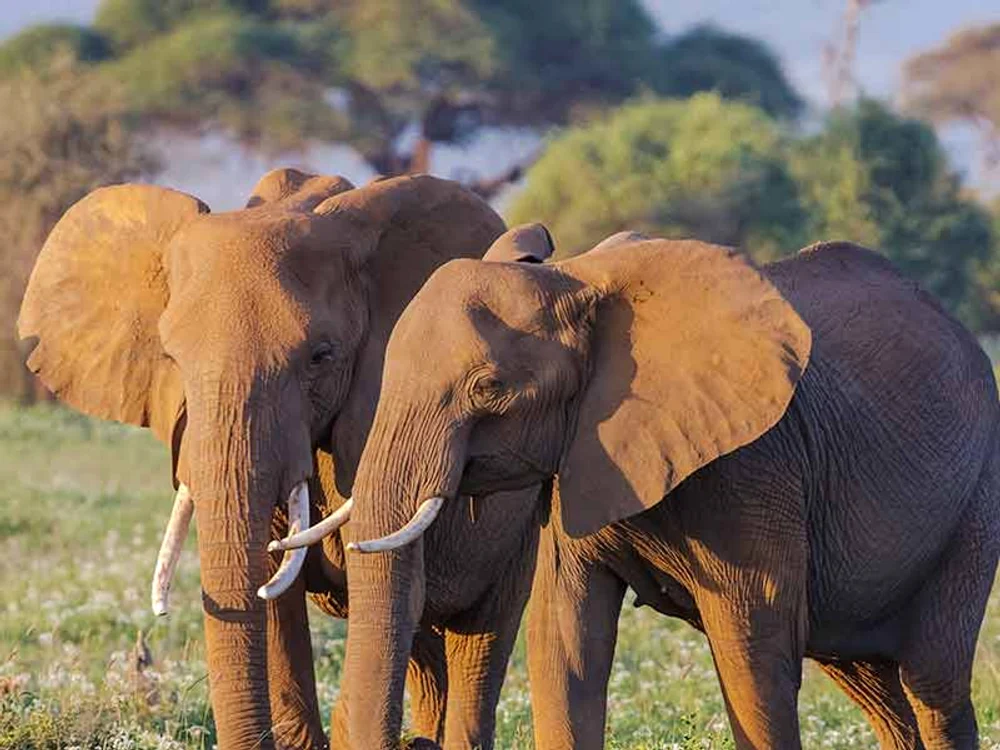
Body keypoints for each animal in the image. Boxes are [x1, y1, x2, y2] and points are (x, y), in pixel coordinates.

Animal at [336, 232, 1000, 750]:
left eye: (488, 387)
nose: (413, 743)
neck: (577, 280)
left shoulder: (754, 465)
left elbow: (752, 646)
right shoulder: (580, 461)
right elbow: (564, 641)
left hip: (975, 501)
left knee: (931, 680)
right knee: (874, 684)